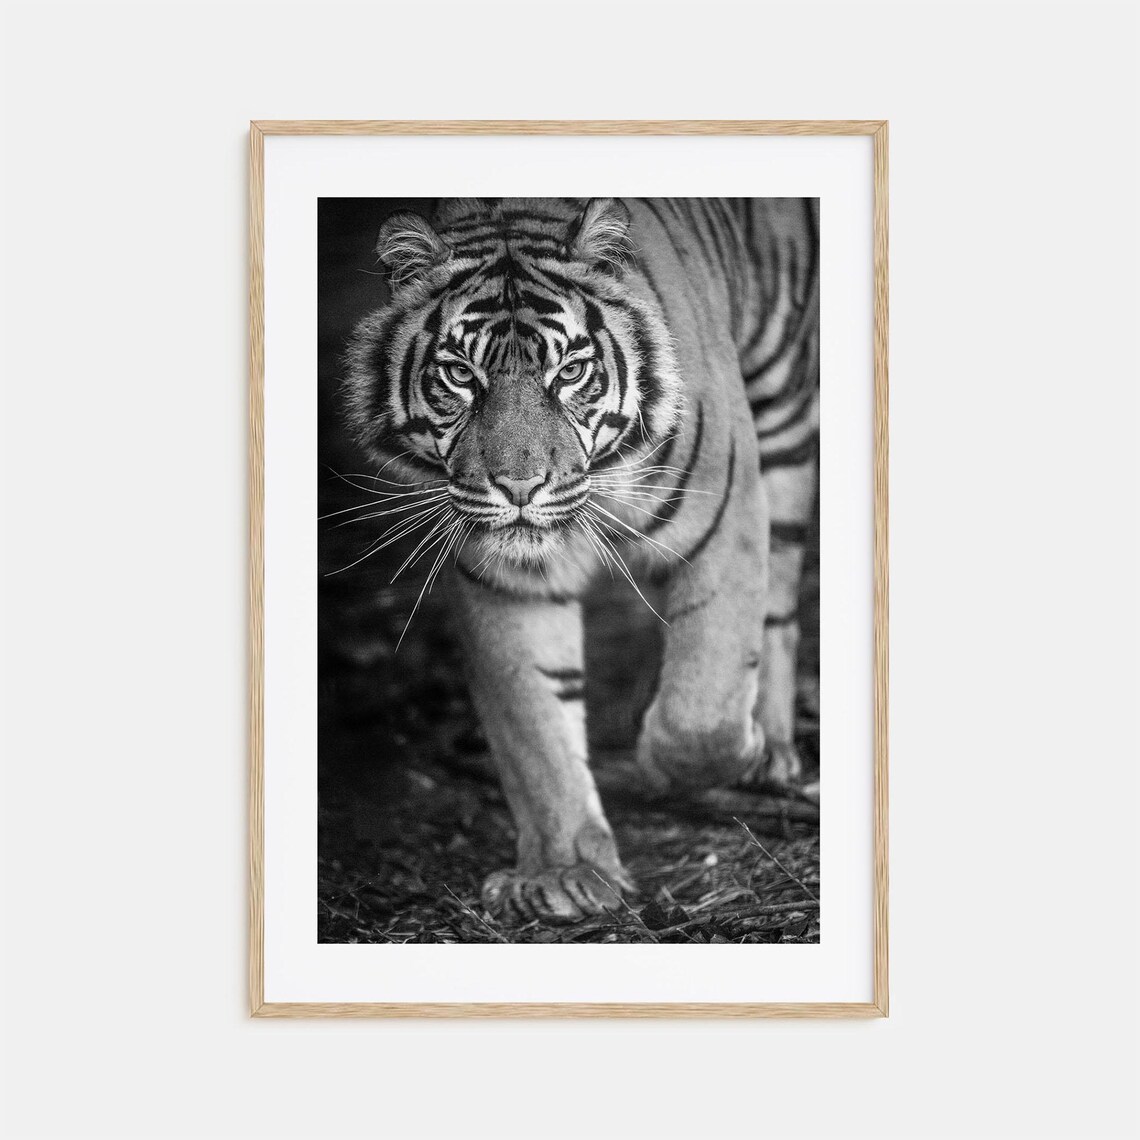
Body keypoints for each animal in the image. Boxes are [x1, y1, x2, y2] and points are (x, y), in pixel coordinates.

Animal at [344, 197, 819, 924]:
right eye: (460, 374)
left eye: (569, 372)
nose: (518, 488)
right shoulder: (506, 581)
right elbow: (535, 726)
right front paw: (565, 872)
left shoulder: (727, 511)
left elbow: (700, 711)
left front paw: (722, 755)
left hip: (784, 410)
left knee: (780, 609)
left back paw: (770, 749)